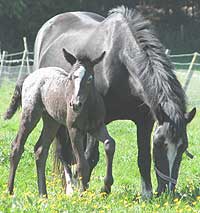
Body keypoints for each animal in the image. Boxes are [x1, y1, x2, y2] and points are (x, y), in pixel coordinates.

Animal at [4, 48, 115, 196]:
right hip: (30, 114)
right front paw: (83, 195)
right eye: (71, 77)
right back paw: (10, 191)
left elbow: (109, 143)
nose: (75, 104)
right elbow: (82, 164)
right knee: (17, 146)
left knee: (40, 150)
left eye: (90, 78)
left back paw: (43, 195)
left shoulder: (97, 127)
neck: (87, 107)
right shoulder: (74, 130)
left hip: (51, 121)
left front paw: (106, 186)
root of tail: (29, 76)